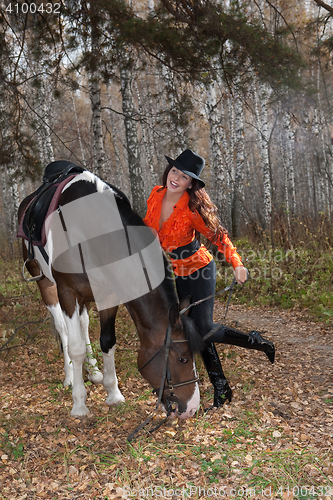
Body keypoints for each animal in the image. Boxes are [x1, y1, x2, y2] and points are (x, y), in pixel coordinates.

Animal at [18, 171, 202, 418]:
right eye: (183, 358)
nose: (192, 408)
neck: (90, 233)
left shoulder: (108, 295)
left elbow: (107, 342)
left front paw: (113, 393)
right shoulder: (67, 292)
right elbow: (75, 347)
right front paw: (79, 403)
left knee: (84, 324)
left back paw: (94, 371)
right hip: (47, 286)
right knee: (64, 330)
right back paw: (70, 377)